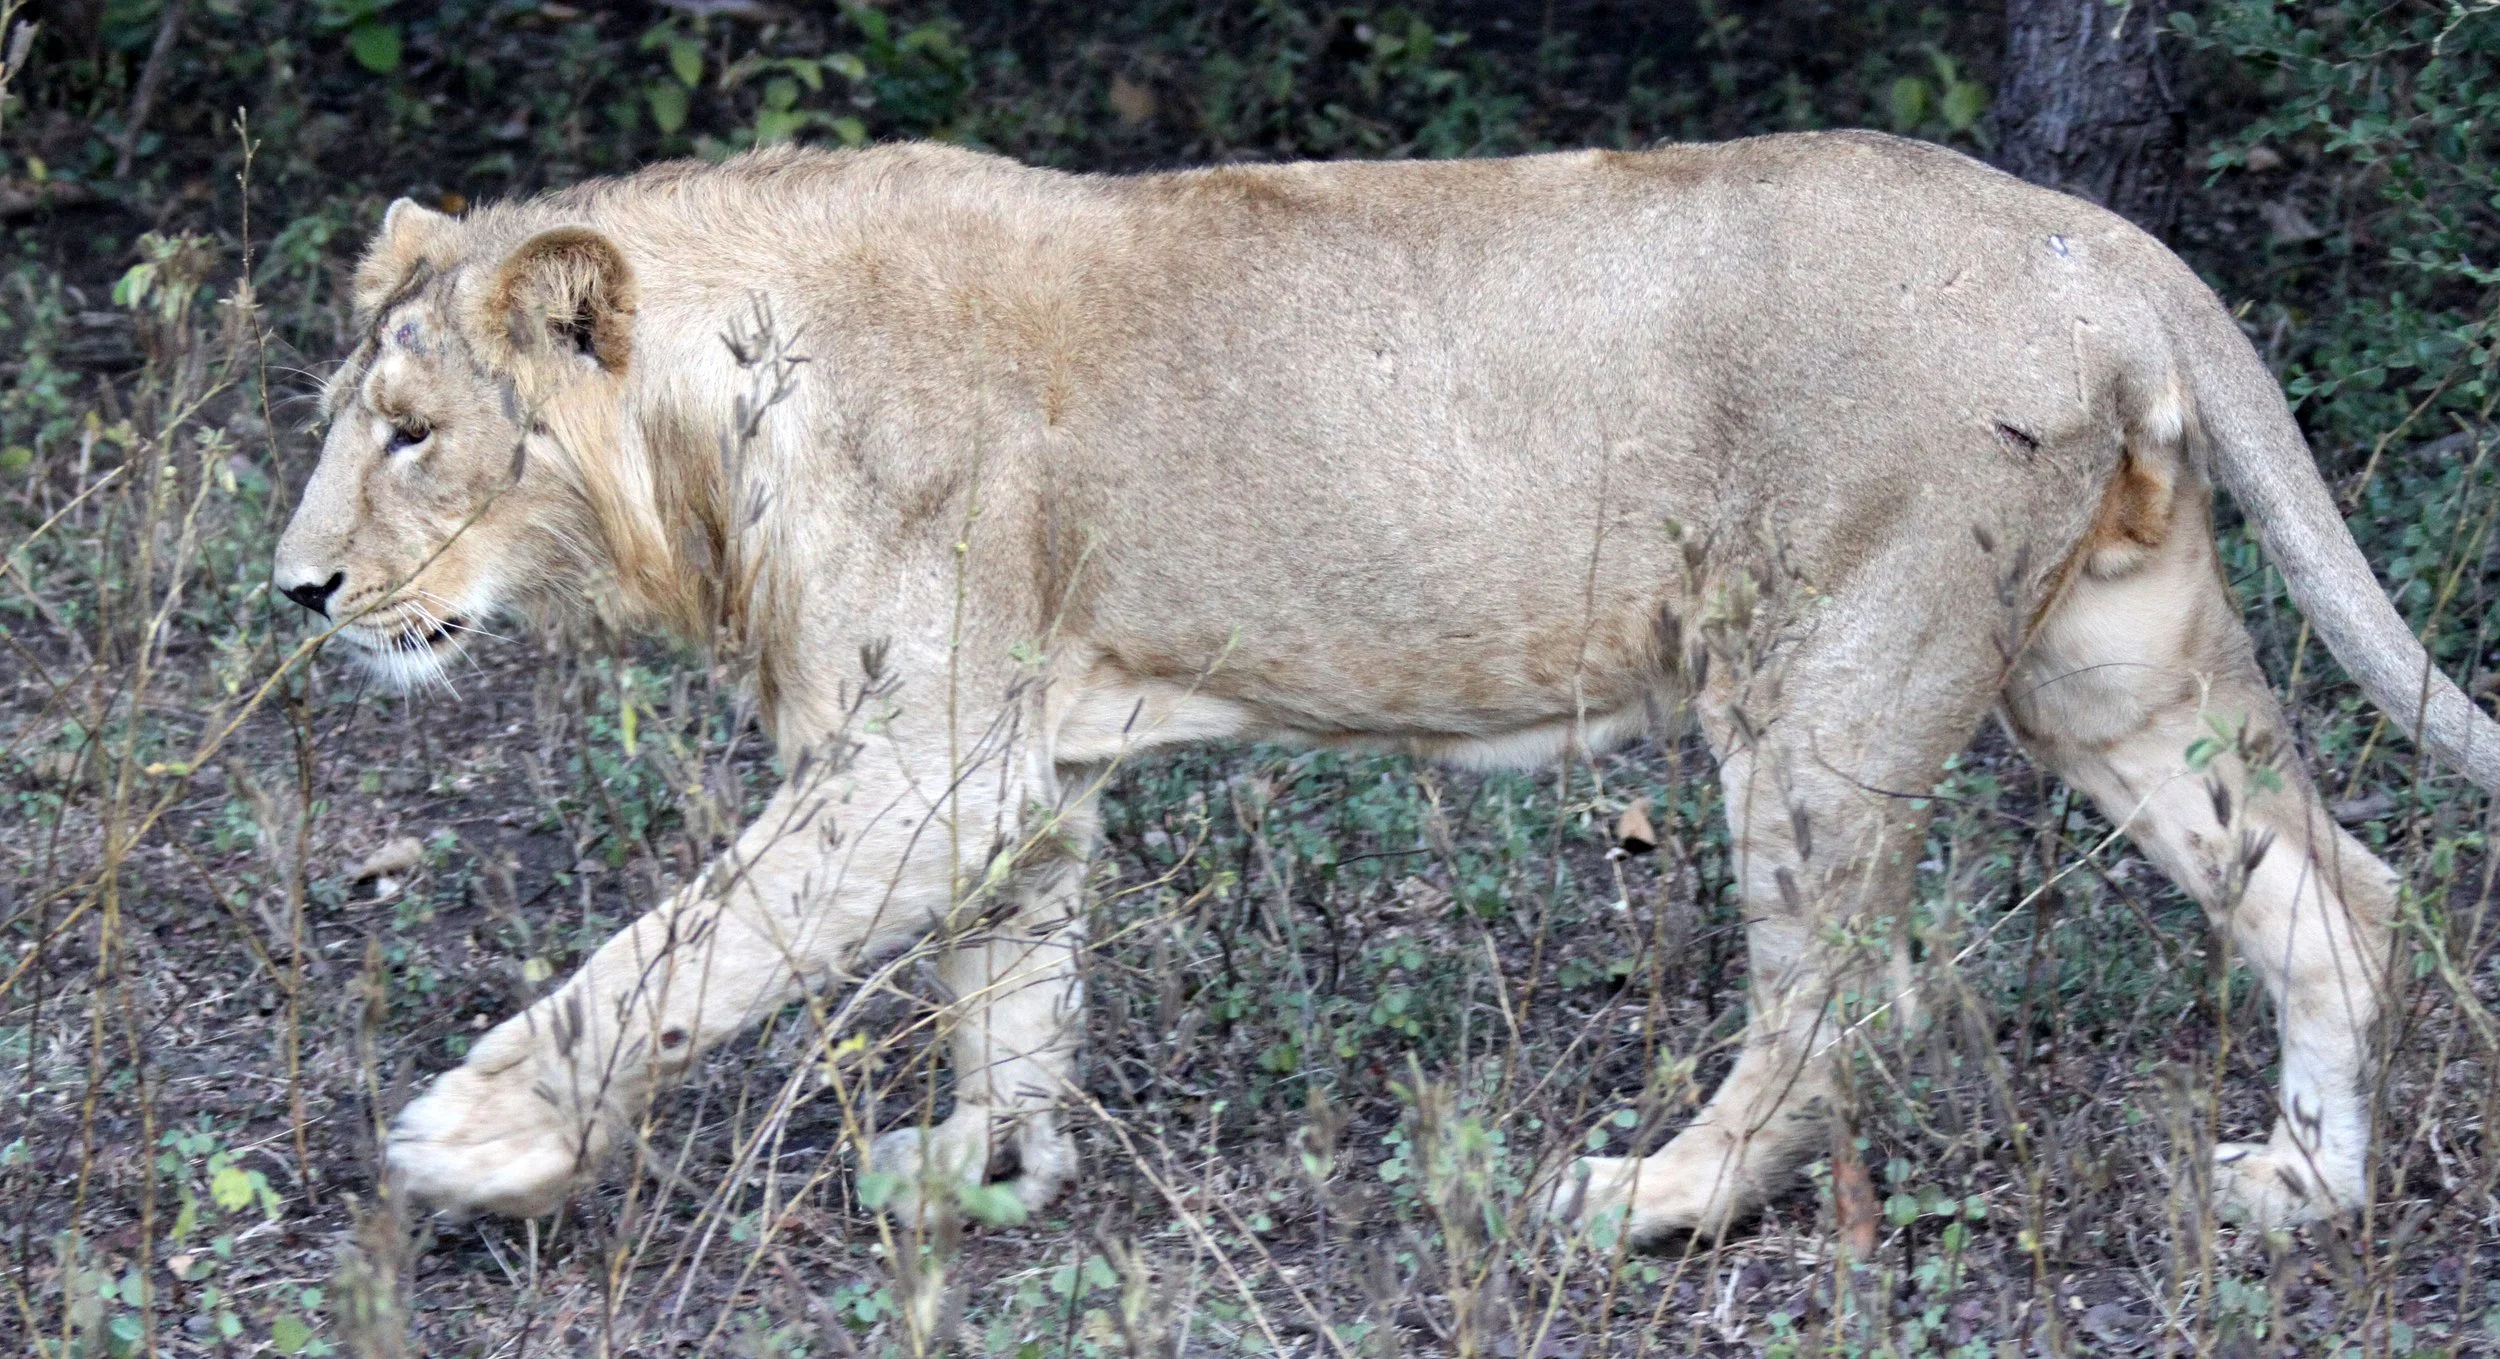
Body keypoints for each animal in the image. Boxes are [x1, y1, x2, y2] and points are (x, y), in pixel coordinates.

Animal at [273, 131, 2500, 1246]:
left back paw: (1649, 1197)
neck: (712, 425)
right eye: (336, 423)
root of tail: (2086, 233)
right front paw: (991, 1169)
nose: (297, 589)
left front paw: (470, 1139)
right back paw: (2299, 1189)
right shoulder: (1012, 760)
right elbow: (1012, 984)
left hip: (1825, 675)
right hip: (2105, 653)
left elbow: (661, 957)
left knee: (1842, 994)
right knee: (2342, 892)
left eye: (410, 434)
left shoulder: (918, 762)